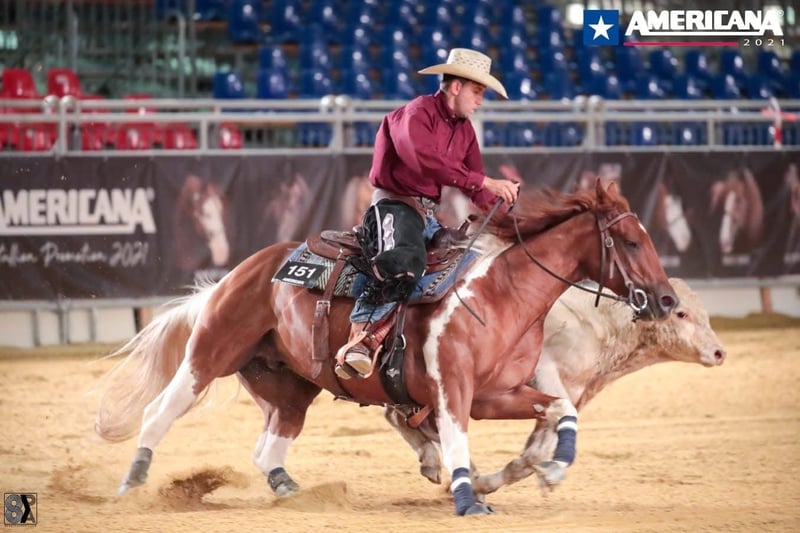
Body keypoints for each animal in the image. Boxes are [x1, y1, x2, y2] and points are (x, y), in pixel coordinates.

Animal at [93, 180, 678, 517]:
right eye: (631, 242)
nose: (667, 299)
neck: (501, 294)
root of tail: (242, 271)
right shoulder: (454, 389)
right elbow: (457, 438)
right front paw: (467, 498)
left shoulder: (497, 394)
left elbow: (559, 410)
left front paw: (553, 469)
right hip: (211, 352)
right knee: (161, 410)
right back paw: (133, 481)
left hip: (290, 386)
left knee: (268, 448)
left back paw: (293, 490)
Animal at [384, 277, 726, 496]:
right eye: (681, 313)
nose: (719, 352)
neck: (596, 324)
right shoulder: (544, 374)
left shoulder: (568, 396)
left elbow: (535, 453)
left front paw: (531, 477)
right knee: (405, 418)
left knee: (403, 417)